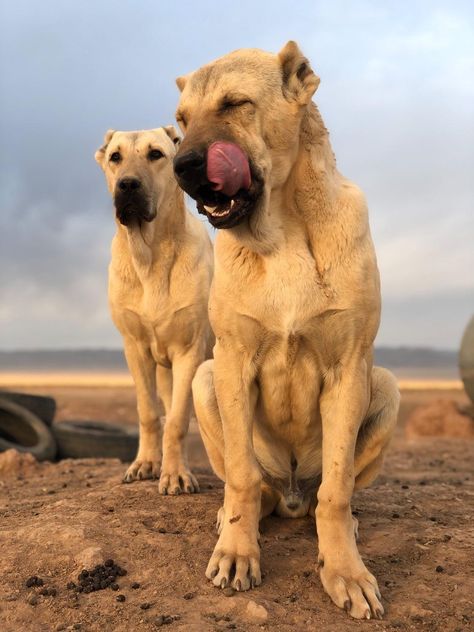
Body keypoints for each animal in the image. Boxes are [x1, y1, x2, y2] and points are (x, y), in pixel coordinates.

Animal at [95, 127, 212, 494]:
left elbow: (176, 420)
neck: (150, 255)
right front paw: (146, 463)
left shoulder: (189, 350)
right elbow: (149, 413)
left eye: (156, 154)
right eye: (115, 157)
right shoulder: (136, 349)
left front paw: (175, 474)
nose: (128, 185)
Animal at [173, 42, 400, 620]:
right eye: (180, 120)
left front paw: (345, 571)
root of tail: (292, 493)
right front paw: (237, 552)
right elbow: (242, 477)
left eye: (235, 104)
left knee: (327, 494)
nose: (183, 167)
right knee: (252, 485)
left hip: (386, 386)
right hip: (204, 378)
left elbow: (337, 490)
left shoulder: (348, 367)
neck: (285, 232)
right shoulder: (232, 360)